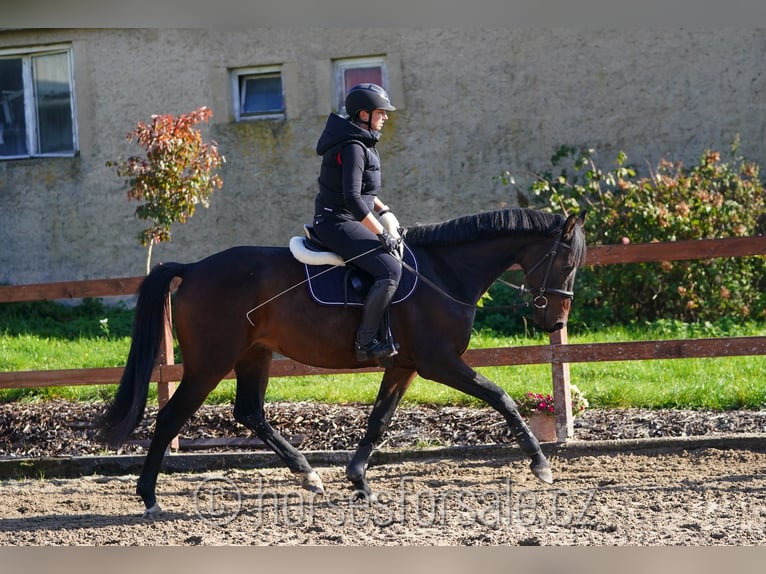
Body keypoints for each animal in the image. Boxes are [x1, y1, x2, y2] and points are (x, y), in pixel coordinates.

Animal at [98, 207, 587, 515]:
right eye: (566, 263)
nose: (555, 320)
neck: (445, 273)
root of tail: (194, 268)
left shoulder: (404, 365)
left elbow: (379, 419)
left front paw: (358, 479)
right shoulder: (439, 362)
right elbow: (500, 396)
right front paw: (540, 464)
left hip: (255, 355)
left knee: (250, 412)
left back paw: (308, 475)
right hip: (209, 363)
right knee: (170, 417)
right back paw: (148, 497)